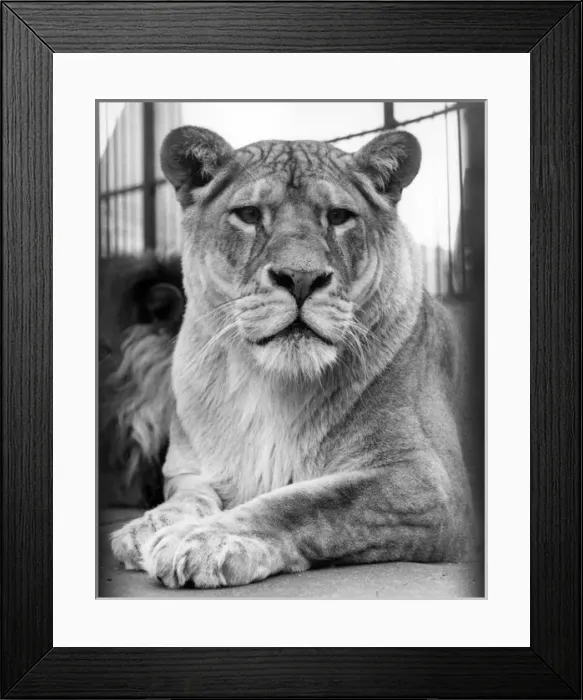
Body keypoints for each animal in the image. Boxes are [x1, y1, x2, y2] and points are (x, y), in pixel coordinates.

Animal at [111, 125, 477, 588]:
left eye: (338, 217)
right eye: (249, 214)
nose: (301, 278)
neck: (268, 383)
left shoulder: (428, 482)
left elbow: (305, 503)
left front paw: (205, 539)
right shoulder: (188, 470)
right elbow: (188, 497)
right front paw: (148, 526)